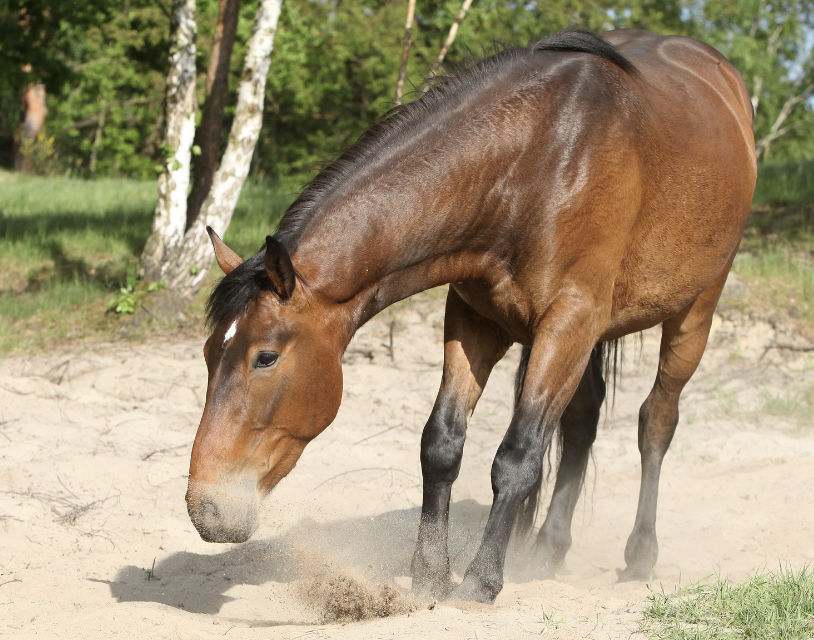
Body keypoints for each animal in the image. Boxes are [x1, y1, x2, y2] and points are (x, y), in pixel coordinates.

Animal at [186, 27, 760, 604]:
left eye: (265, 358)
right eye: (210, 353)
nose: (205, 510)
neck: (535, 163)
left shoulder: (568, 322)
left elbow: (518, 455)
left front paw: (481, 581)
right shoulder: (475, 320)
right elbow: (441, 444)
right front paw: (429, 574)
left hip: (693, 313)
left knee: (656, 422)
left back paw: (640, 555)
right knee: (581, 422)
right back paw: (548, 549)